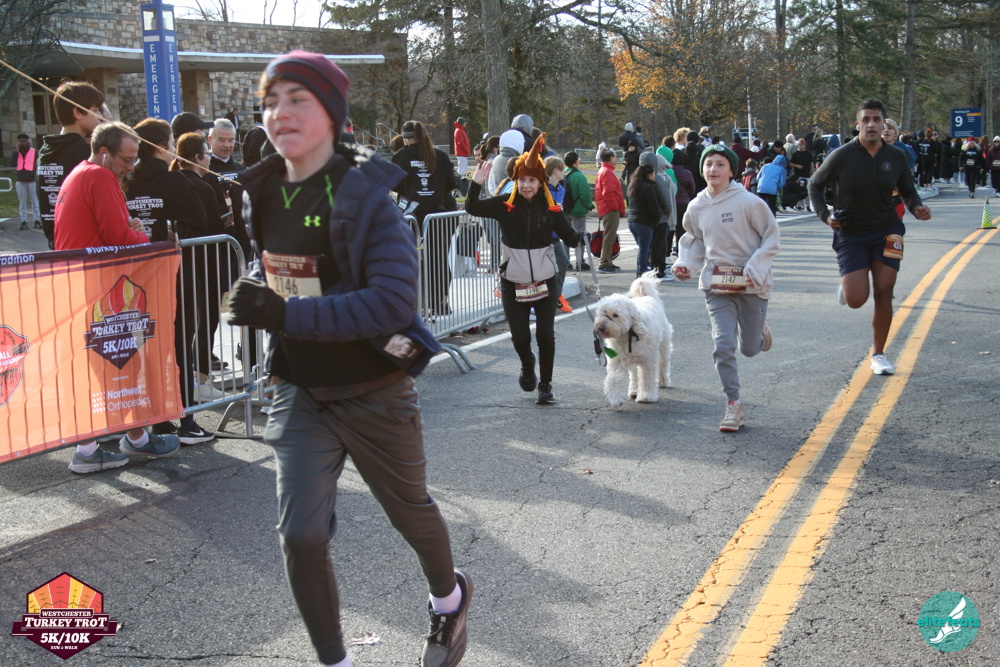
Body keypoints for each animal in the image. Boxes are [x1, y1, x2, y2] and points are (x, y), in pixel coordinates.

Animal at [593, 273, 673, 407]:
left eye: (615, 315)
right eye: (604, 312)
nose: (601, 327)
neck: (629, 333)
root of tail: (646, 296)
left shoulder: (648, 360)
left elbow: (647, 378)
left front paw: (646, 396)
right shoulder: (618, 359)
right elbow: (614, 378)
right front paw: (616, 397)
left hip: (664, 345)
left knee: (663, 364)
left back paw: (663, 381)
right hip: (632, 360)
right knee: (634, 375)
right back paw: (634, 390)